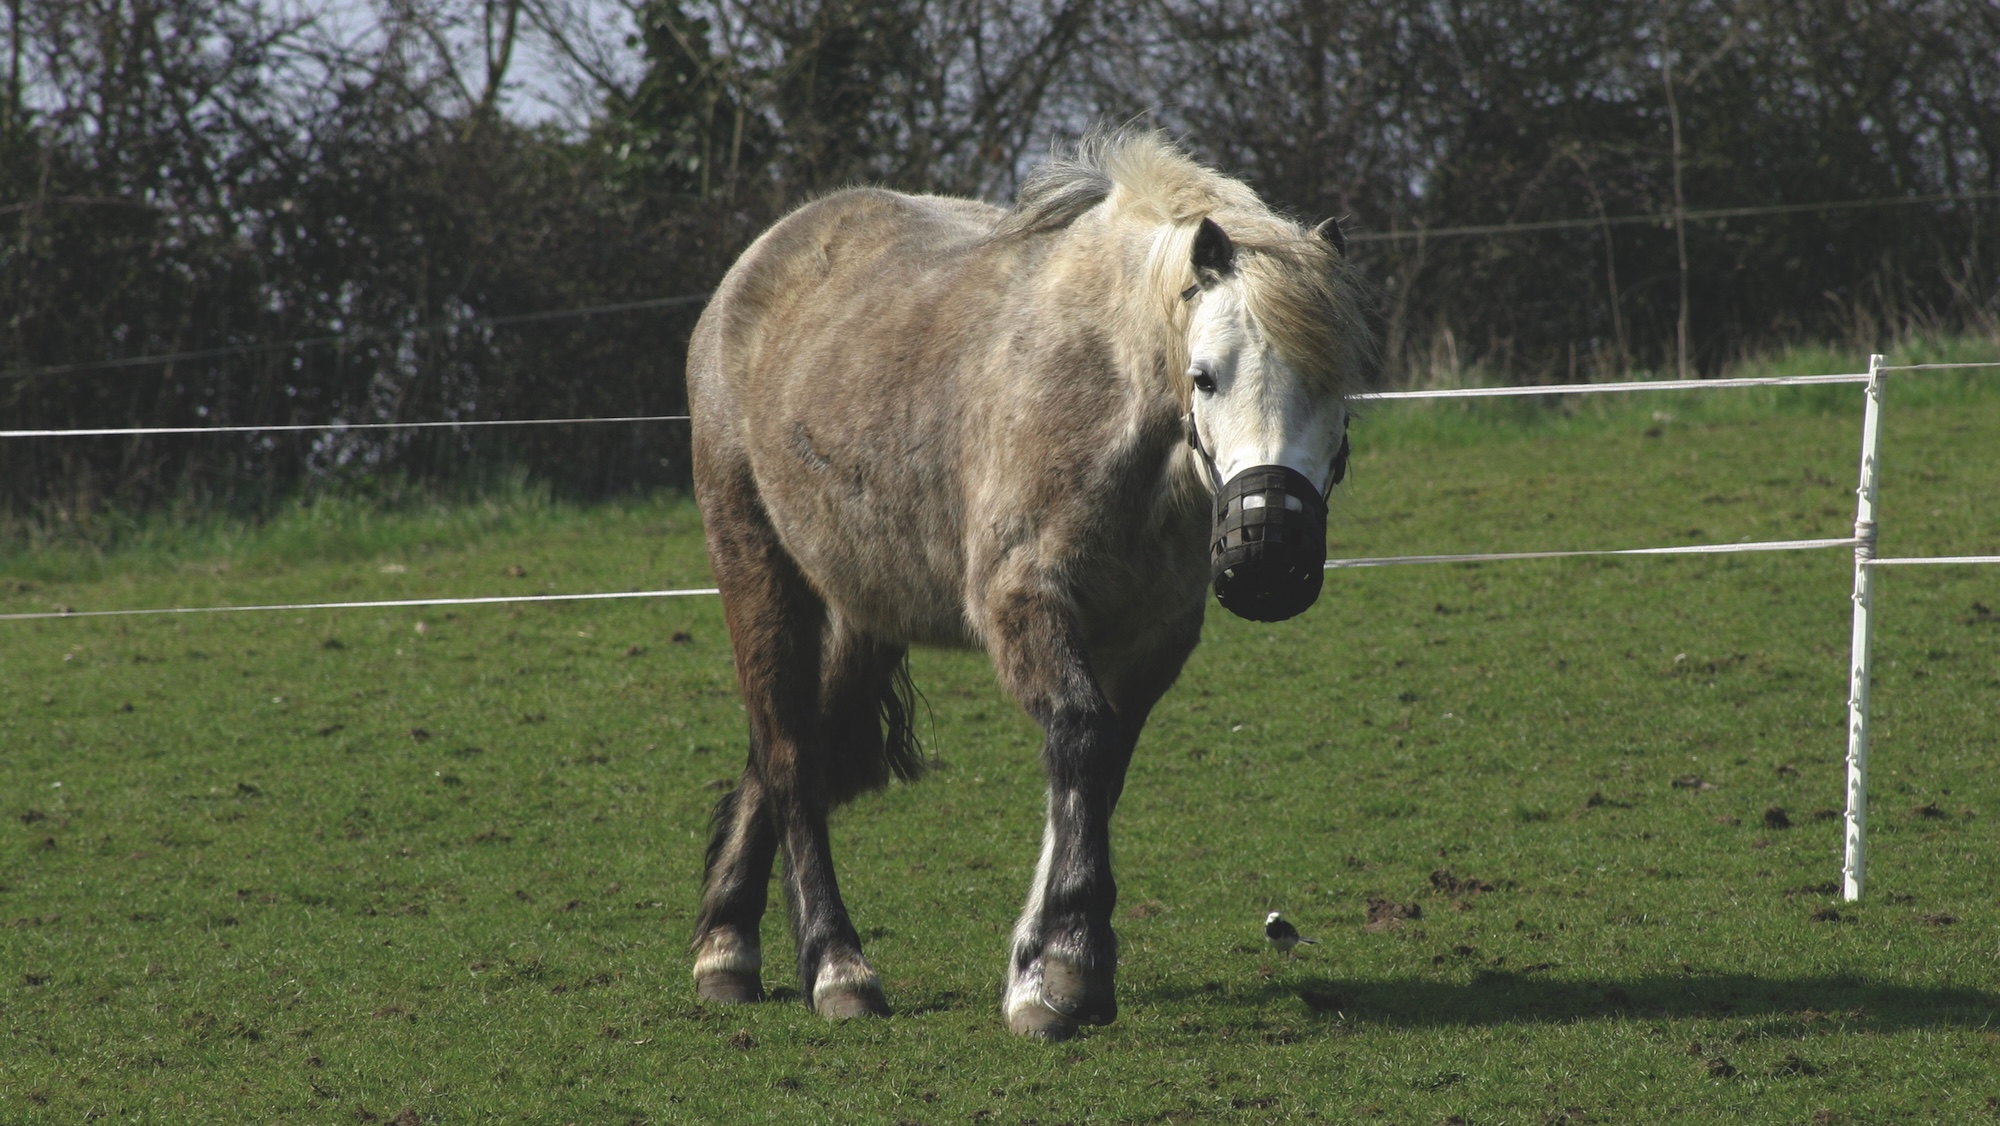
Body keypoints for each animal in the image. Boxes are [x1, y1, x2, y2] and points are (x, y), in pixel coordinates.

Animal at [685, 131, 1373, 1040]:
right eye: (1205, 376)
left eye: (1336, 386)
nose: (1267, 550)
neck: (1107, 401)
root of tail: (757, 266)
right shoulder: (1026, 605)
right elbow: (1079, 740)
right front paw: (1071, 965)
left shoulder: (1150, 638)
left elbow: (1098, 771)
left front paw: (1041, 974)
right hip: (756, 568)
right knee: (792, 754)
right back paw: (835, 966)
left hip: (862, 610)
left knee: (787, 746)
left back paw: (727, 942)